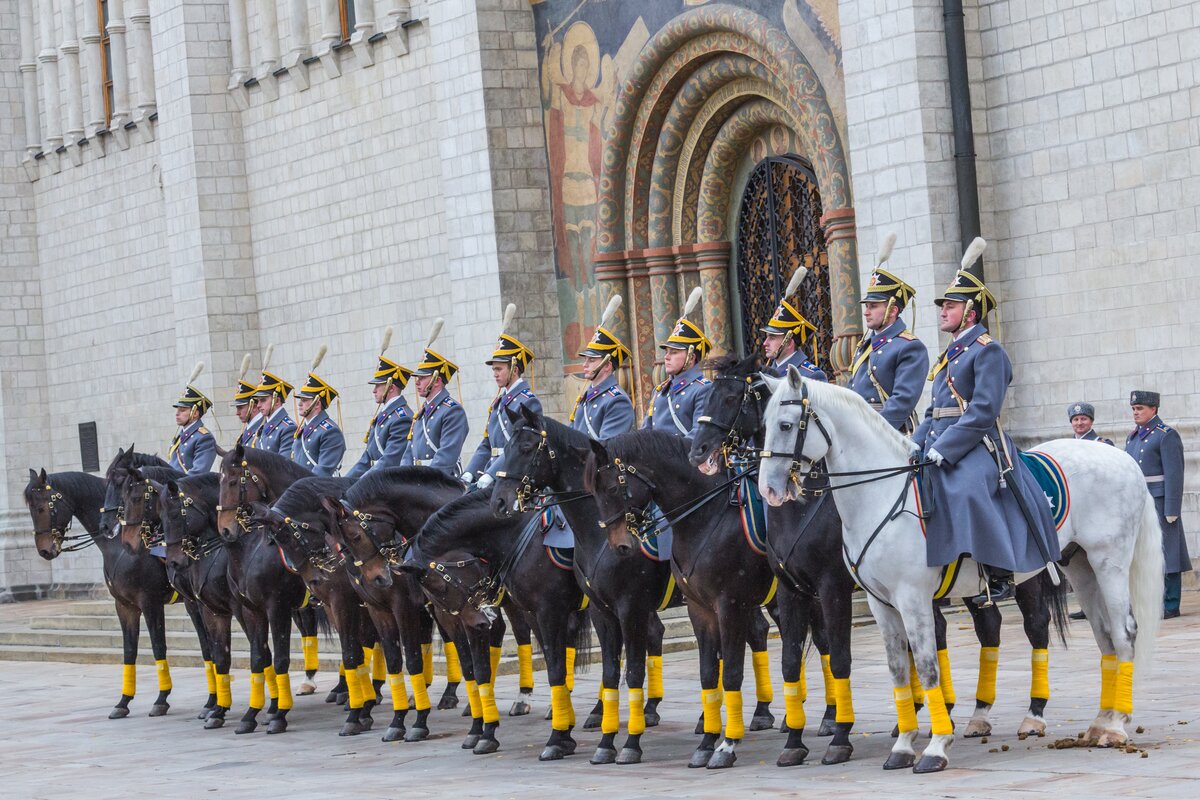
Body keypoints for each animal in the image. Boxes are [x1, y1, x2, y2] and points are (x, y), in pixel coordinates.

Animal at [403, 491, 590, 762]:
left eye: (440, 585)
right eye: (433, 593)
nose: (483, 621)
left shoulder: (548, 610)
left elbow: (555, 669)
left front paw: (558, 739)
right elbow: (478, 672)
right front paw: (483, 733)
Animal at [489, 410, 676, 767]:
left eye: (526, 447)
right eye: (503, 447)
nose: (500, 501)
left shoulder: (623, 607)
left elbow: (625, 670)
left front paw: (625, 743)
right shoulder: (598, 611)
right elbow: (599, 670)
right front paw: (594, 740)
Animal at [585, 431, 792, 767]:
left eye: (613, 488)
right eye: (593, 492)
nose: (620, 546)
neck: (704, 516)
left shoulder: (727, 604)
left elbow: (730, 672)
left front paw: (726, 745)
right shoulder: (698, 609)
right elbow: (708, 673)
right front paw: (707, 743)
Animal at [758, 367, 1161, 772]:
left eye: (786, 424)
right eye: (763, 424)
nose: (769, 490)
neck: (882, 495)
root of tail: (1123, 459)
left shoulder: (908, 598)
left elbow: (926, 666)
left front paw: (935, 747)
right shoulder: (879, 604)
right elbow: (898, 669)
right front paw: (903, 745)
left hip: (1108, 563)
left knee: (1122, 632)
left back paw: (1113, 726)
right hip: (1080, 567)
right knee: (1104, 636)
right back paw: (1101, 722)